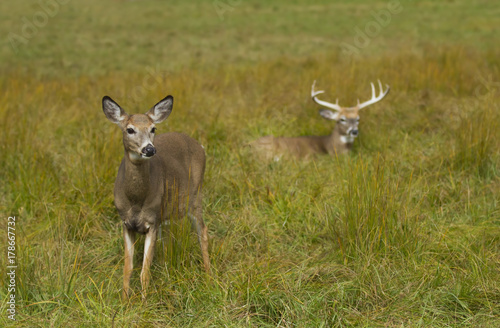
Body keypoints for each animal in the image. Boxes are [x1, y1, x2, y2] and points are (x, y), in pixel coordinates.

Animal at [102, 93, 210, 300]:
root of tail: (199, 145)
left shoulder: (152, 221)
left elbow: (145, 272)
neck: (136, 201)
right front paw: (124, 301)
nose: (149, 149)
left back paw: (210, 274)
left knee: (203, 230)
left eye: (153, 128)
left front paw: (144, 302)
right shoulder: (126, 223)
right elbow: (128, 268)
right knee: (168, 239)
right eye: (129, 129)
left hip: (194, 196)